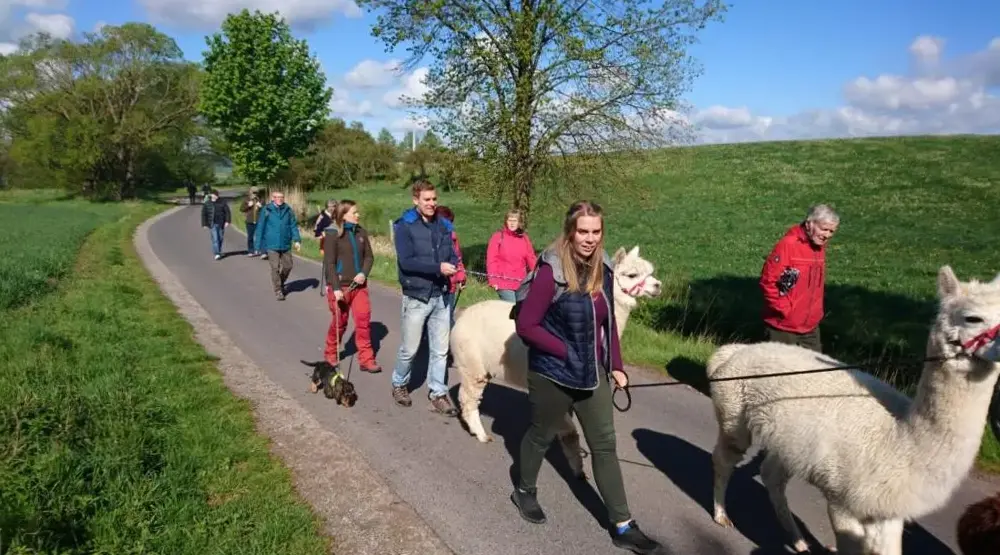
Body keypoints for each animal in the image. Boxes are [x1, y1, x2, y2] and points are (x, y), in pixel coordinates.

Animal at [706, 265, 1000, 555]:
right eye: (972, 318)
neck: (899, 438)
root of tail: (734, 351)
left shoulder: (886, 511)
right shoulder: (843, 501)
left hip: (792, 443)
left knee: (771, 476)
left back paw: (799, 541)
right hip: (733, 411)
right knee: (725, 457)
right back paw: (721, 515)